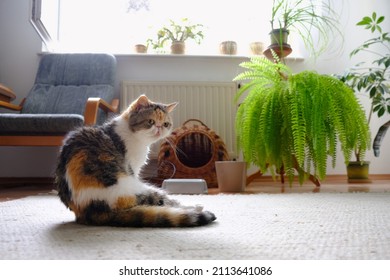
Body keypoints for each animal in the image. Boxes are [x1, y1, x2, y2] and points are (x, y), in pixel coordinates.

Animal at [54, 95, 216, 226]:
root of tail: (90, 210)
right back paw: (196, 207)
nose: (159, 128)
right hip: (133, 187)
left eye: (165, 124)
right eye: (151, 121)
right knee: (161, 201)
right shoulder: (132, 168)